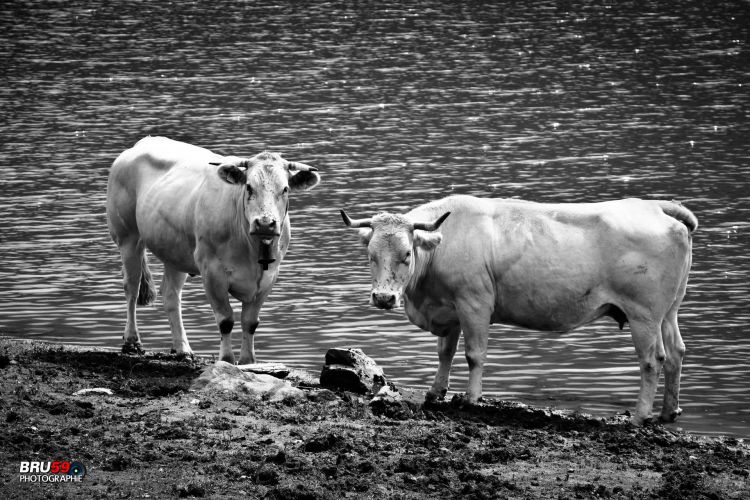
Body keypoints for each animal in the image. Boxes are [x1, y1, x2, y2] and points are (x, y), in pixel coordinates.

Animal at [106, 137, 320, 364]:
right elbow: (226, 320)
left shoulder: (269, 276)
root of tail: (143, 142)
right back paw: (132, 341)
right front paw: (226, 359)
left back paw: (182, 348)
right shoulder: (212, 271)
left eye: (285, 189)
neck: (251, 249)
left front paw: (247, 361)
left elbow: (250, 322)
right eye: (249, 187)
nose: (265, 223)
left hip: (174, 251)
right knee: (132, 288)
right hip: (128, 237)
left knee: (171, 295)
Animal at [344, 193, 704, 424]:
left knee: (652, 360)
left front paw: (470, 398)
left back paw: (639, 416)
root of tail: (653, 206)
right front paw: (435, 392)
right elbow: (445, 352)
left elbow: (474, 355)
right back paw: (668, 411)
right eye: (371, 255)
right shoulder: (450, 309)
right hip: (669, 311)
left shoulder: (474, 302)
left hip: (644, 314)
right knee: (676, 352)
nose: (383, 298)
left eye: (406, 254)